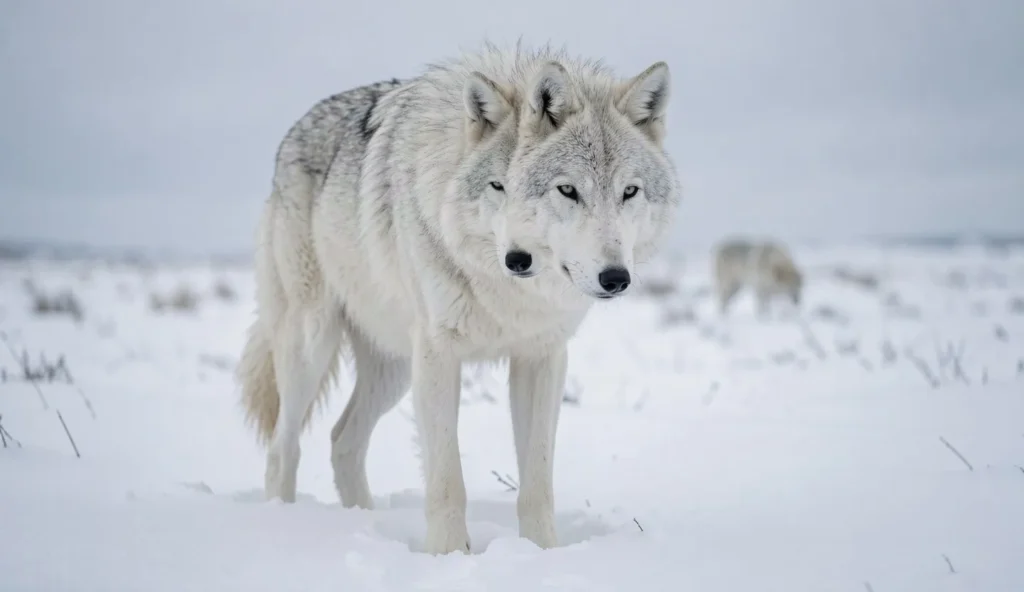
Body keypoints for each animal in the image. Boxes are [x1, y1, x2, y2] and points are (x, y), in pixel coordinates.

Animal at [235, 42, 681, 555]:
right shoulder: (438, 355)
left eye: (629, 192)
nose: (616, 278)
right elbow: (448, 478)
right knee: (282, 448)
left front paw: (542, 554)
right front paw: (449, 556)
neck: (506, 290)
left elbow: (537, 480)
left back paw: (364, 523)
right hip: (313, 347)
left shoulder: (542, 358)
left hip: (393, 371)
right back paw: (287, 527)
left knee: (342, 439)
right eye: (567, 190)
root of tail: (292, 132)